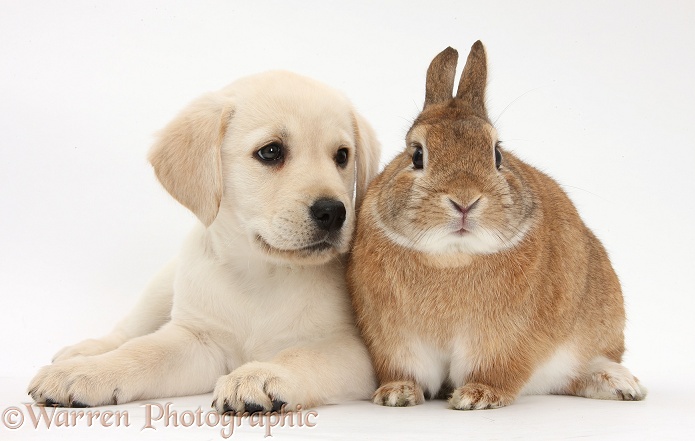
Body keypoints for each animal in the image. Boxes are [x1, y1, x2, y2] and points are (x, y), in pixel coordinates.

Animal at [27, 70, 380, 410]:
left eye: (342, 156)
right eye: (271, 151)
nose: (333, 212)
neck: (262, 273)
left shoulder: (355, 350)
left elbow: (304, 355)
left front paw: (260, 374)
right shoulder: (198, 340)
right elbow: (141, 352)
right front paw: (86, 372)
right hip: (162, 287)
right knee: (128, 331)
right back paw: (84, 352)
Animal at [348, 41, 648, 410]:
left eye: (497, 154)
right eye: (417, 155)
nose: (465, 200)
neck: (453, 257)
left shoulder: (504, 341)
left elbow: (495, 370)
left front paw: (478, 396)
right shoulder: (395, 339)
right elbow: (407, 369)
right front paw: (397, 392)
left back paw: (621, 385)